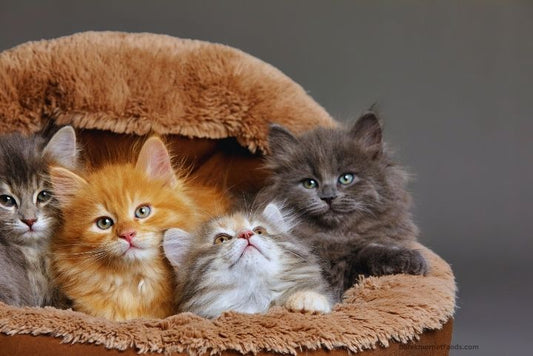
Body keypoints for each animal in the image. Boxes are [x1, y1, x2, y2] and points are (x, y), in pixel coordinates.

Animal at [256, 112, 426, 300]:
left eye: (346, 178)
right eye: (309, 183)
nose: (328, 197)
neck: (336, 236)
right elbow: (365, 254)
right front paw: (408, 257)